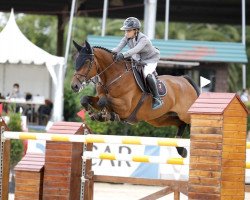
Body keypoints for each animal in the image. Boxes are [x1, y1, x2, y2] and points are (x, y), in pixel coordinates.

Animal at [71, 40, 200, 158]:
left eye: (87, 62)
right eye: (76, 60)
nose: (74, 86)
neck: (115, 76)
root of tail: (184, 79)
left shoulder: (125, 106)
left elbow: (104, 101)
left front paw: (106, 115)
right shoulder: (100, 98)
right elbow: (86, 99)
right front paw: (95, 114)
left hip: (185, 114)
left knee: (189, 124)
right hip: (160, 118)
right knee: (181, 124)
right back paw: (181, 150)